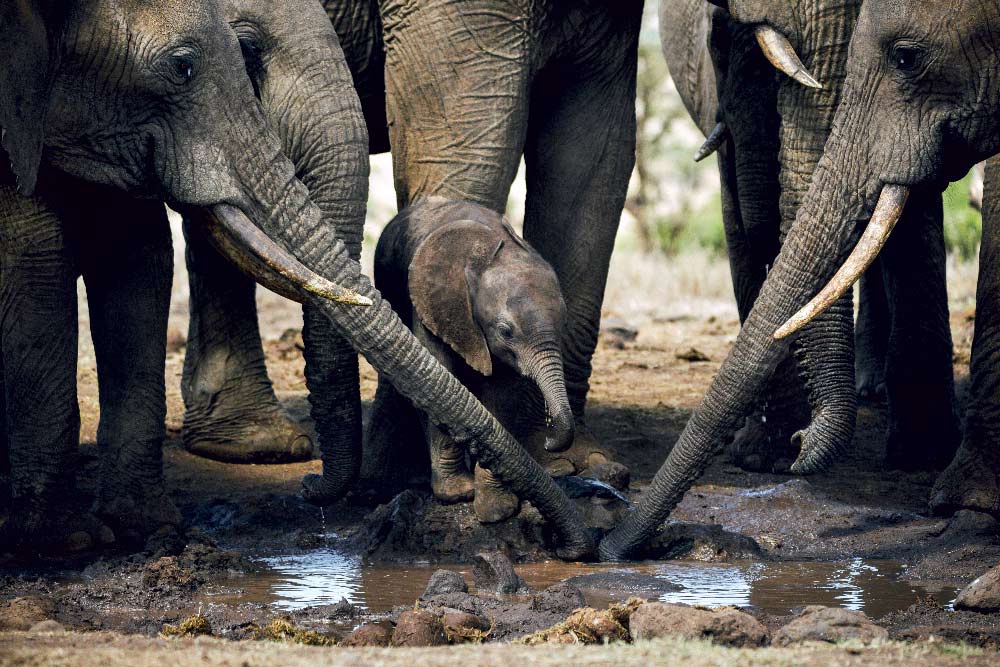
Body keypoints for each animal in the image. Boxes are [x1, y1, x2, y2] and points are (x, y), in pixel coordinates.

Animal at [370, 198, 576, 528]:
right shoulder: (433, 305)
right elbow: (440, 375)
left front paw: (497, 510)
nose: (547, 442)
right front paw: (457, 495)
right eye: (506, 331)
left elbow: (501, 396)